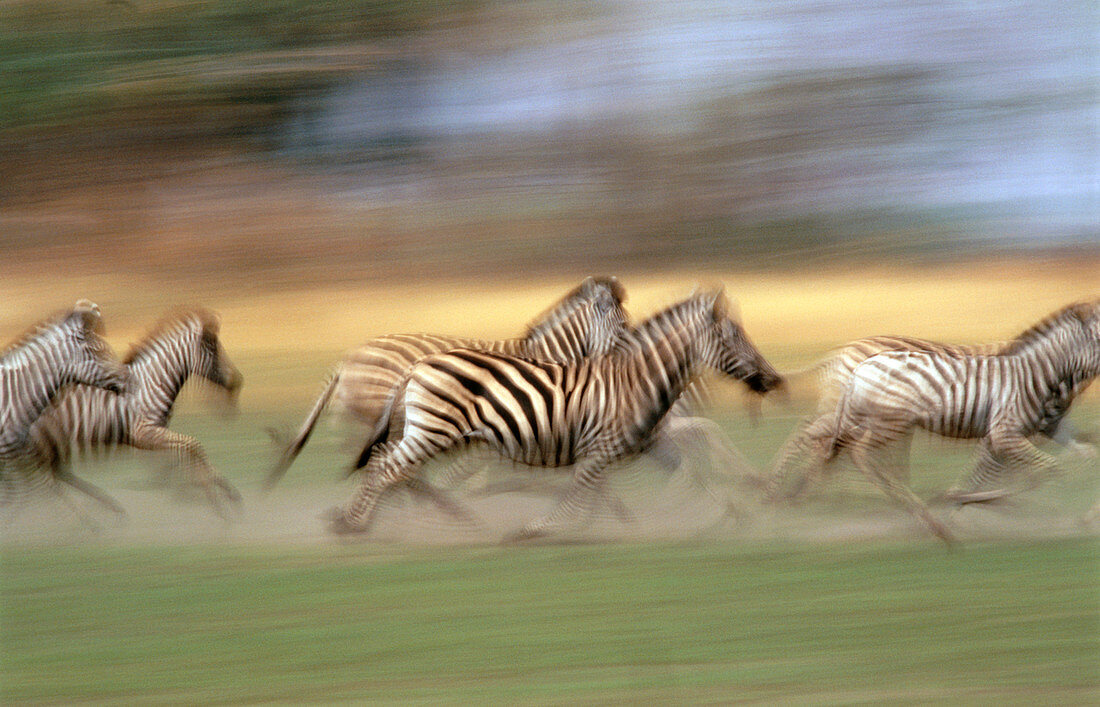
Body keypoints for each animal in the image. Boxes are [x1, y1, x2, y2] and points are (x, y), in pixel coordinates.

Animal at [1, 301, 128, 512]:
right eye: (99, 352)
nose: (133, 380)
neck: (12, 397)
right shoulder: (12, 459)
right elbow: (26, 498)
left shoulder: (16, 458)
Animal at [26, 307, 246, 518]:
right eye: (213, 348)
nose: (237, 381)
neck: (153, 382)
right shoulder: (144, 434)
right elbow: (194, 446)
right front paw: (216, 501)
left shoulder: (155, 434)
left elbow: (184, 455)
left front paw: (222, 490)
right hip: (45, 441)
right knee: (48, 479)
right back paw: (88, 520)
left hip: (52, 441)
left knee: (58, 473)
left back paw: (108, 508)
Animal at [332, 288, 783, 543]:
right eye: (734, 337)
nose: (774, 380)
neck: (636, 380)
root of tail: (418, 365)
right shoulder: (599, 447)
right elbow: (578, 496)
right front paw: (538, 529)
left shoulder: (647, 442)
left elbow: (691, 474)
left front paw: (732, 515)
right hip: (433, 431)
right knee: (390, 468)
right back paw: (357, 524)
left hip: (423, 430)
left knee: (389, 466)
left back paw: (371, 520)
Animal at [787, 299, 1100, 543]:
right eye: (1099, 338)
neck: (1038, 374)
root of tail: (860, 364)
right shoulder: (1004, 433)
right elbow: (1043, 471)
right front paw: (957, 505)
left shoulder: (1048, 427)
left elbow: (1086, 455)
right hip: (888, 423)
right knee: (855, 453)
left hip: (874, 421)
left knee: (834, 446)